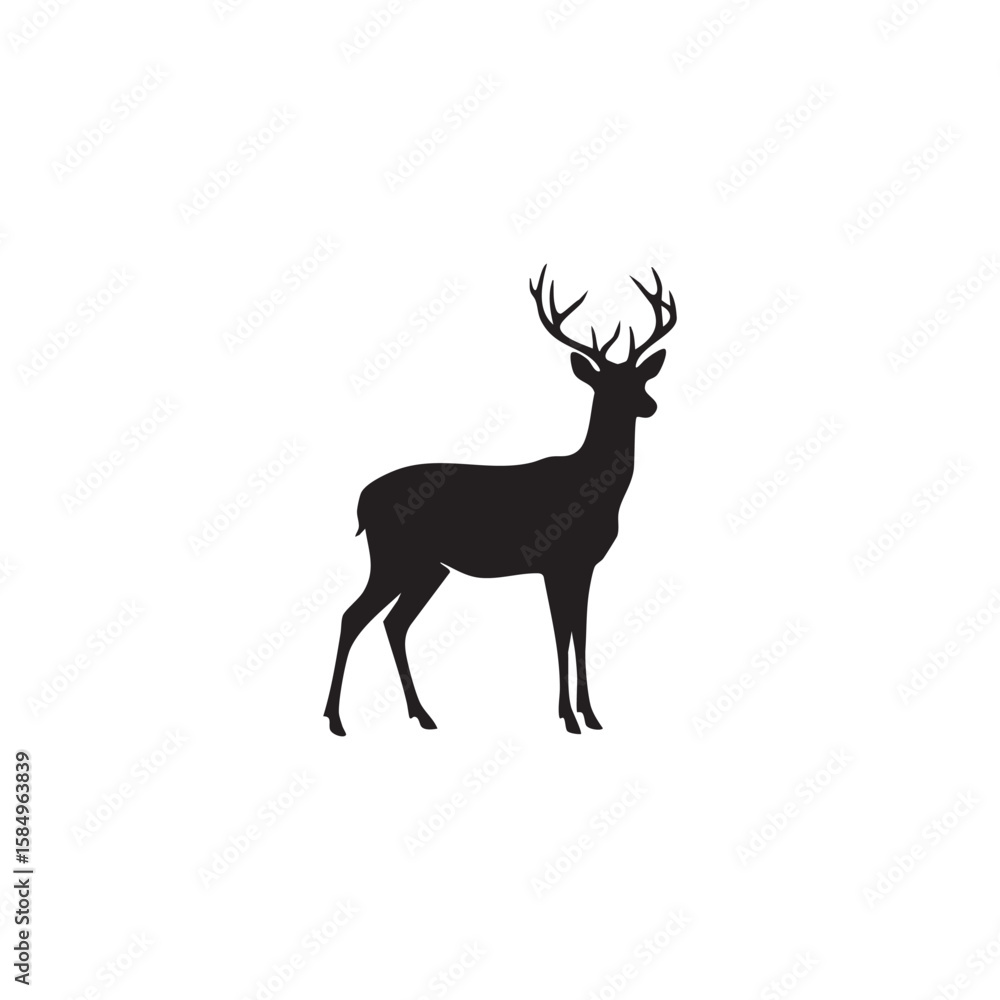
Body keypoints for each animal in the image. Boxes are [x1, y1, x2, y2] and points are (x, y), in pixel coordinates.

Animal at [324, 266, 677, 735]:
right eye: (605, 384)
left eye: (641, 379)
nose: (650, 405)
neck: (593, 490)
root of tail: (362, 500)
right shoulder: (555, 562)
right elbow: (561, 634)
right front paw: (568, 717)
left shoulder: (583, 565)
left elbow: (581, 633)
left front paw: (591, 715)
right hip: (392, 556)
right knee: (353, 616)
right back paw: (335, 719)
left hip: (428, 568)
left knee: (392, 623)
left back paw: (422, 715)